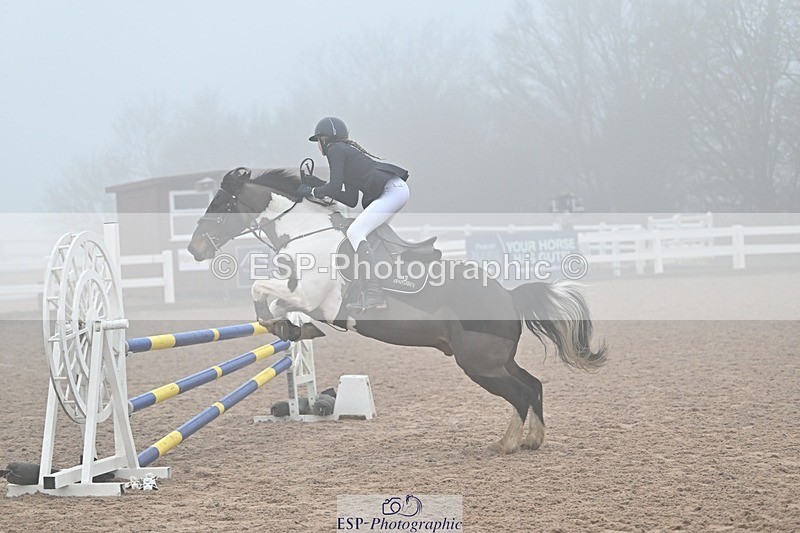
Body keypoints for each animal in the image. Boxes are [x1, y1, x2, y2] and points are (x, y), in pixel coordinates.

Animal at [188, 166, 607, 454]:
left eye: (220, 204)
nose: (194, 249)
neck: (307, 232)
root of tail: (508, 296)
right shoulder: (303, 297)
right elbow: (276, 303)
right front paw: (293, 330)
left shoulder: (309, 295)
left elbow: (262, 291)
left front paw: (281, 325)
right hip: (496, 359)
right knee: (533, 385)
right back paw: (533, 440)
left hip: (479, 364)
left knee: (520, 394)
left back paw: (505, 444)